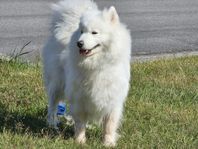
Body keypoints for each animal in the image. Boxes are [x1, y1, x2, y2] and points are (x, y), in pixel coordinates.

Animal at [42, 0, 131, 147]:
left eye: (94, 33)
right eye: (82, 32)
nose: (79, 43)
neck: (97, 65)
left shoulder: (112, 99)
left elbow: (109, 125)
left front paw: (108, 143)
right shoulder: (79, 98)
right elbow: (80, 122)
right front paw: (80, 141)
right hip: (57, 84)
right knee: (53, 105)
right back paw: (52, 124)